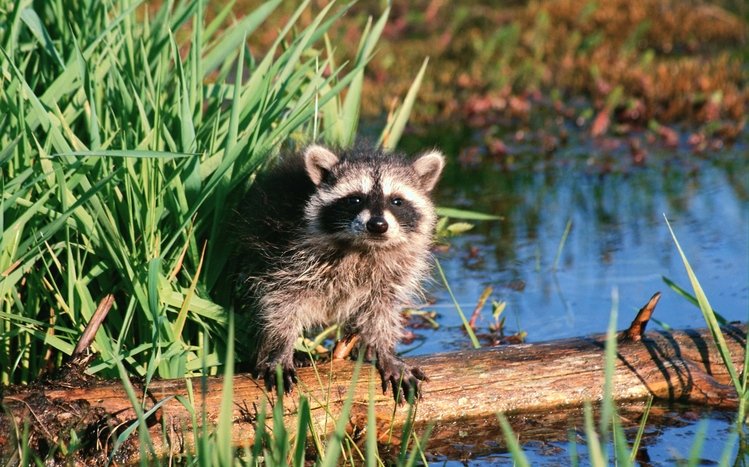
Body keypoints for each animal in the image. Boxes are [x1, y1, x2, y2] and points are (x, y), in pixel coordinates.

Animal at [236, 144, 444, 402]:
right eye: (355, 199)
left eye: (397, 201)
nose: (377, 225)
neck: (364, 247)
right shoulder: (285, 254)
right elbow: (281, 300)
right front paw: (281, 347)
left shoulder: (395, 271)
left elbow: (382, 308)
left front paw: (385, 349)